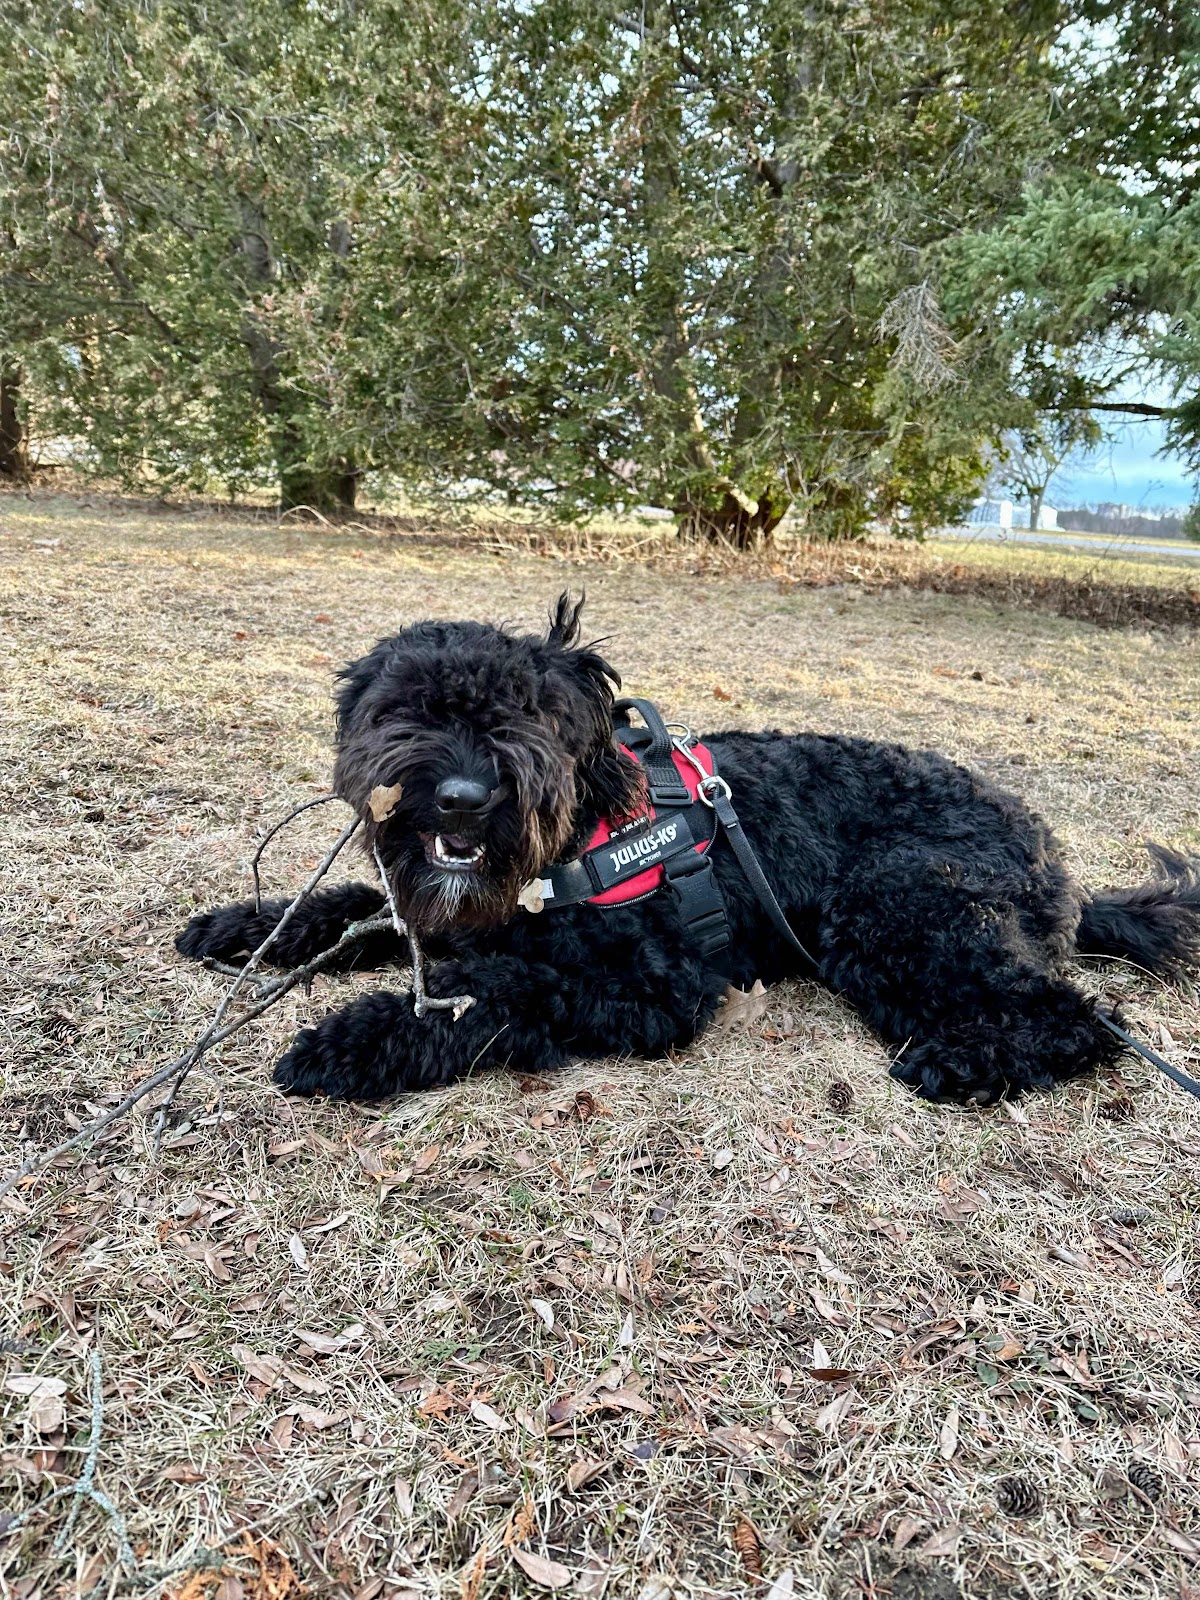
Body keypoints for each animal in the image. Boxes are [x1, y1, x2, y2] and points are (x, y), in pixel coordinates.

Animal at [177, 594, 1200, 1105]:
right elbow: (362, 910)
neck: (577, 833)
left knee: (1081, 1016)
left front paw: (354, 1038)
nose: (465, 795)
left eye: (524, 714)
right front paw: (247, 924)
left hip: (901, 909)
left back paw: (968, 1062)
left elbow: (498, 993)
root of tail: (1057, 863)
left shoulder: (651, 984)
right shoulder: (456, 913)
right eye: (408, 711)